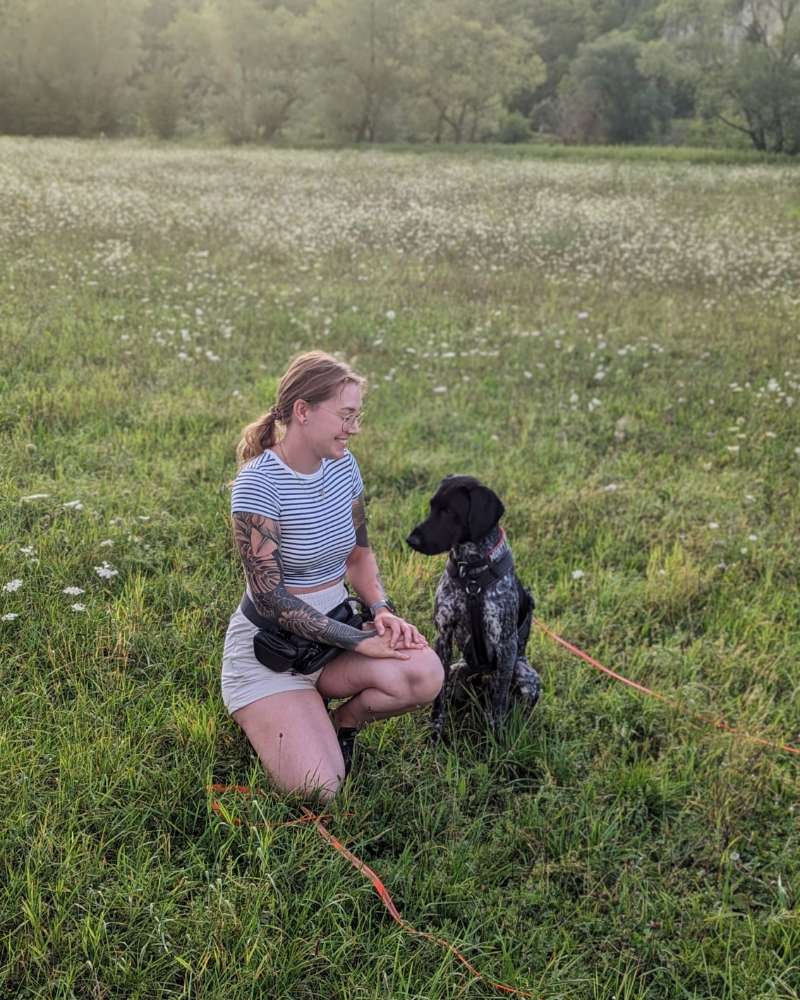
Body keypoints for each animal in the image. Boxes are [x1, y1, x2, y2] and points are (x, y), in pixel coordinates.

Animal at [410, 472, 540, 740]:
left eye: (449, 511)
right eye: (431, 507)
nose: (411, 540)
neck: (471, 573)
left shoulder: (506, 645)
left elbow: (498, 704)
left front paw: (496, 741)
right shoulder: (443, 637)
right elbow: (438, 701)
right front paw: (435, 735)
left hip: (527, 675)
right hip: (458, 670)